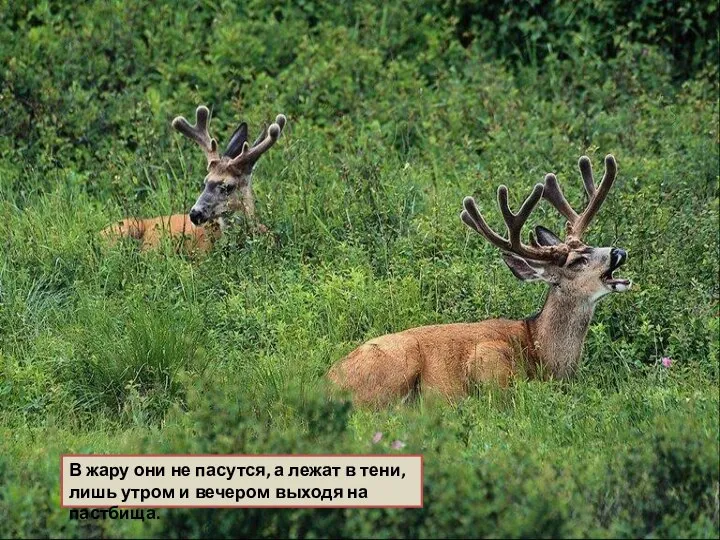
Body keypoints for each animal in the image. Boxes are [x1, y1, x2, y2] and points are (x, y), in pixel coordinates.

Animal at [330, 154, 632, 408]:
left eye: (589, 245)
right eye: (576, 261)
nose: (618, 252)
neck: (544, 354)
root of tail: (327, 382)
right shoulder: (487, 358)